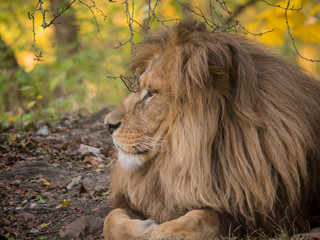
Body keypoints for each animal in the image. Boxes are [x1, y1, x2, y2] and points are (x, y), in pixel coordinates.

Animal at [102, 21, 320, 240]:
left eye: (151, 94)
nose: (108, 125)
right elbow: (110, 219)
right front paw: (145, 227)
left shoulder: (262, 215)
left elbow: (203, 217)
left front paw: (163, 231)